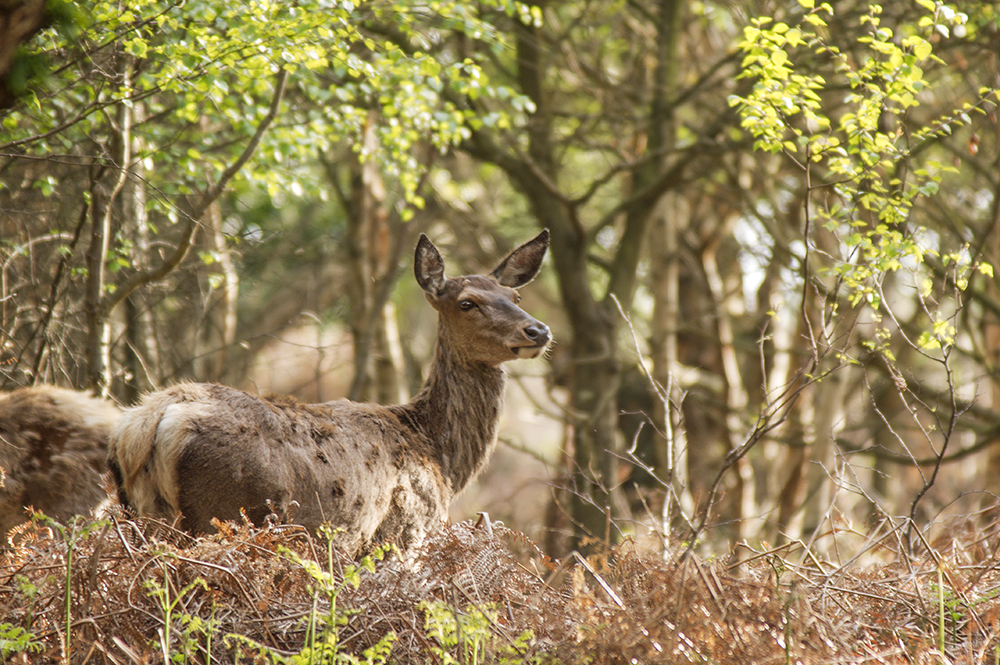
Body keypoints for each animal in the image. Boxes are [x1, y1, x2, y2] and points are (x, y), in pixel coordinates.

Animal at [107, 231, 556, 552]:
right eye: (466, 303)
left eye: (515, 295)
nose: (538, 330)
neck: (440, 458)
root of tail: (152, 424)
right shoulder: (403, 535)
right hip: (218, 516)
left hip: (141, 513)